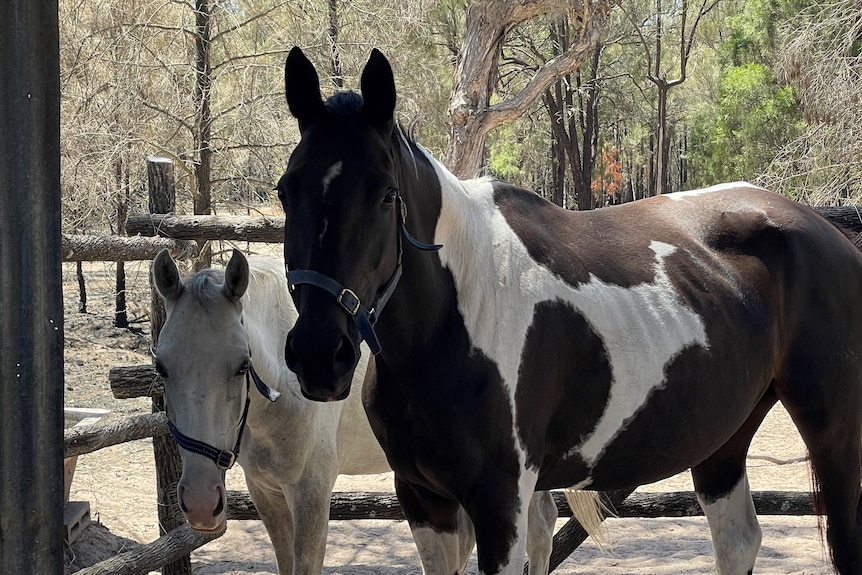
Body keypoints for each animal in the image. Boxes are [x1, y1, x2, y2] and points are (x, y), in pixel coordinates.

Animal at [150, 251, 592, 575]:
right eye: (161, 367)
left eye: (243, 365)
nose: (201, 502)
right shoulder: (265, 491)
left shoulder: (312, 492)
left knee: (540, 528)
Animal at [278, 47, 862, 572]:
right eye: (287, 191)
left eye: (384, 195)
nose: (318, 355)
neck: (451, 324)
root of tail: (825, 229)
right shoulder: (423, 500)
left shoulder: (501, 503)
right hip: (723, 437)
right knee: (738, 540)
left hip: (832, 434)